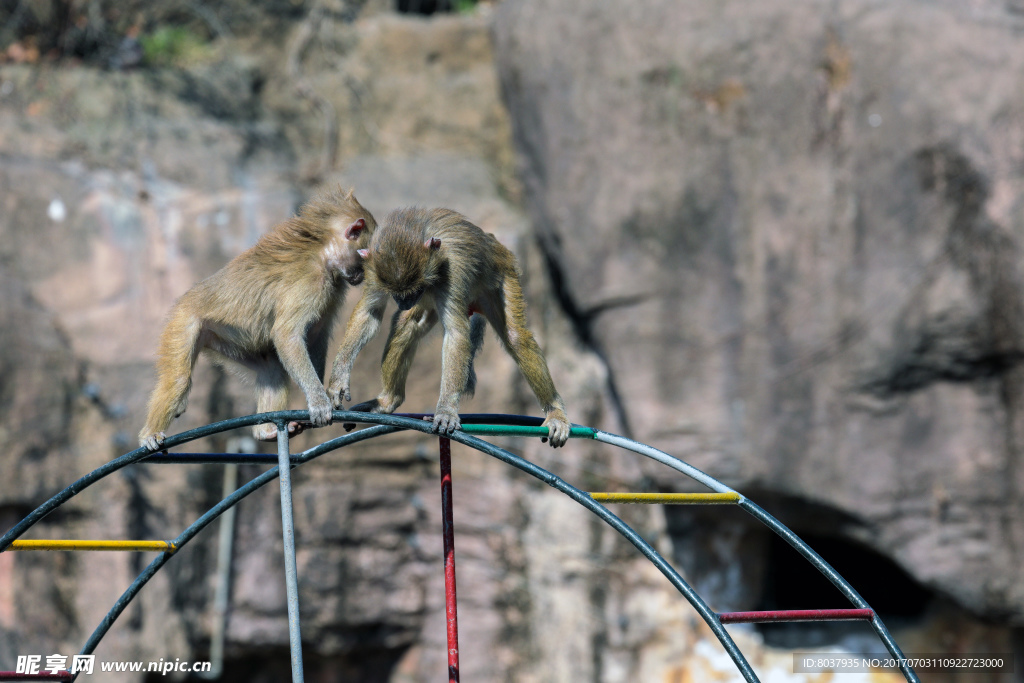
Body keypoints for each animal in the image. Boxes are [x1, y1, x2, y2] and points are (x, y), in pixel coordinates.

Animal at [136, 188, 376, 454]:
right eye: (365, 256)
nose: (362, 276)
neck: (323, 251)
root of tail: (187, 298)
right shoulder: (311, 283)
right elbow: (287, 335)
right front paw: (318, 402)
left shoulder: (332, 288)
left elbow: (315, 336)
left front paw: (330, 392)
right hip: (184, 322)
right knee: (178, 380)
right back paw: (149, 434)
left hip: (228, 340)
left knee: (273, 370)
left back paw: (266, 432)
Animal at [325, 205, 573, 446]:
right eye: (397, 294)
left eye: (415, 290)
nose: (405, 303)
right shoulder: (374, 269)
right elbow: (369, 313)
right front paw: (338, 379)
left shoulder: (452, 273)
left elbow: (455, 334)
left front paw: (445, 410)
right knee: (408, 325)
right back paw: (388, 401)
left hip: (503, 273)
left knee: (515, 338)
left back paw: (555, 412)